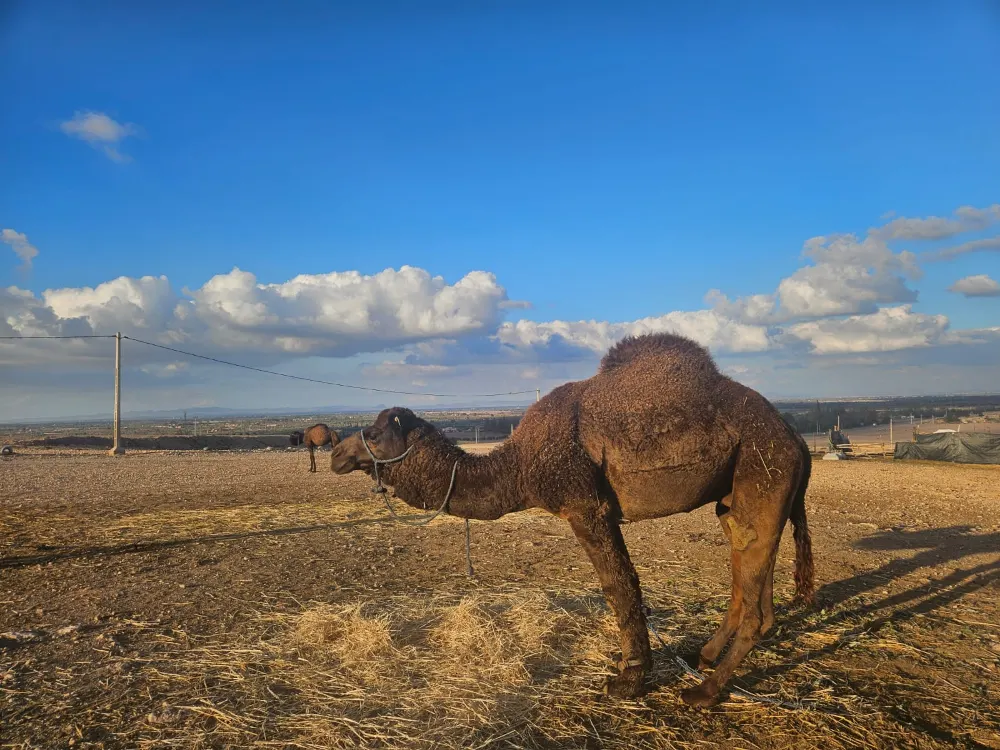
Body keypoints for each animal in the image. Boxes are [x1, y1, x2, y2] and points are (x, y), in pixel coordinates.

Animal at [329, 333, 814, 707]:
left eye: (373, 434)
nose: (335, 453)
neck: (520, 465)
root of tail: (794, 437)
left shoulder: (585, 507)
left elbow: (619, 585)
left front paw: (628, 680)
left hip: (763, 471)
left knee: (753, 591)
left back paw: (705, 692)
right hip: (736, 496)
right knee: (751, 580)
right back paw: (707, 655)